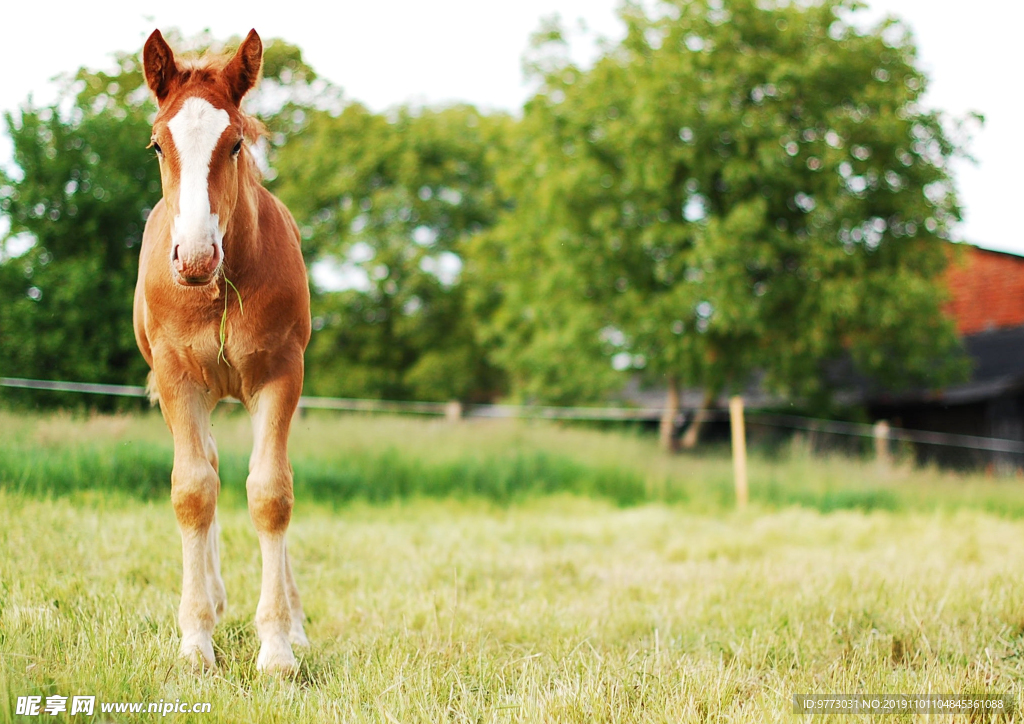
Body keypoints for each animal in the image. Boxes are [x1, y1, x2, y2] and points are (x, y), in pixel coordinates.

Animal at [134, 29, 311, 674]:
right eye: (157, 145)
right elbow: (192, 491)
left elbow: (271, 492)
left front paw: (279, 647)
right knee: (205, 468)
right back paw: (210, 597)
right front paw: (195, 642)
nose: (193, 256)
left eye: (235, 143)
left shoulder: (281, 376)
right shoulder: (177, 379)